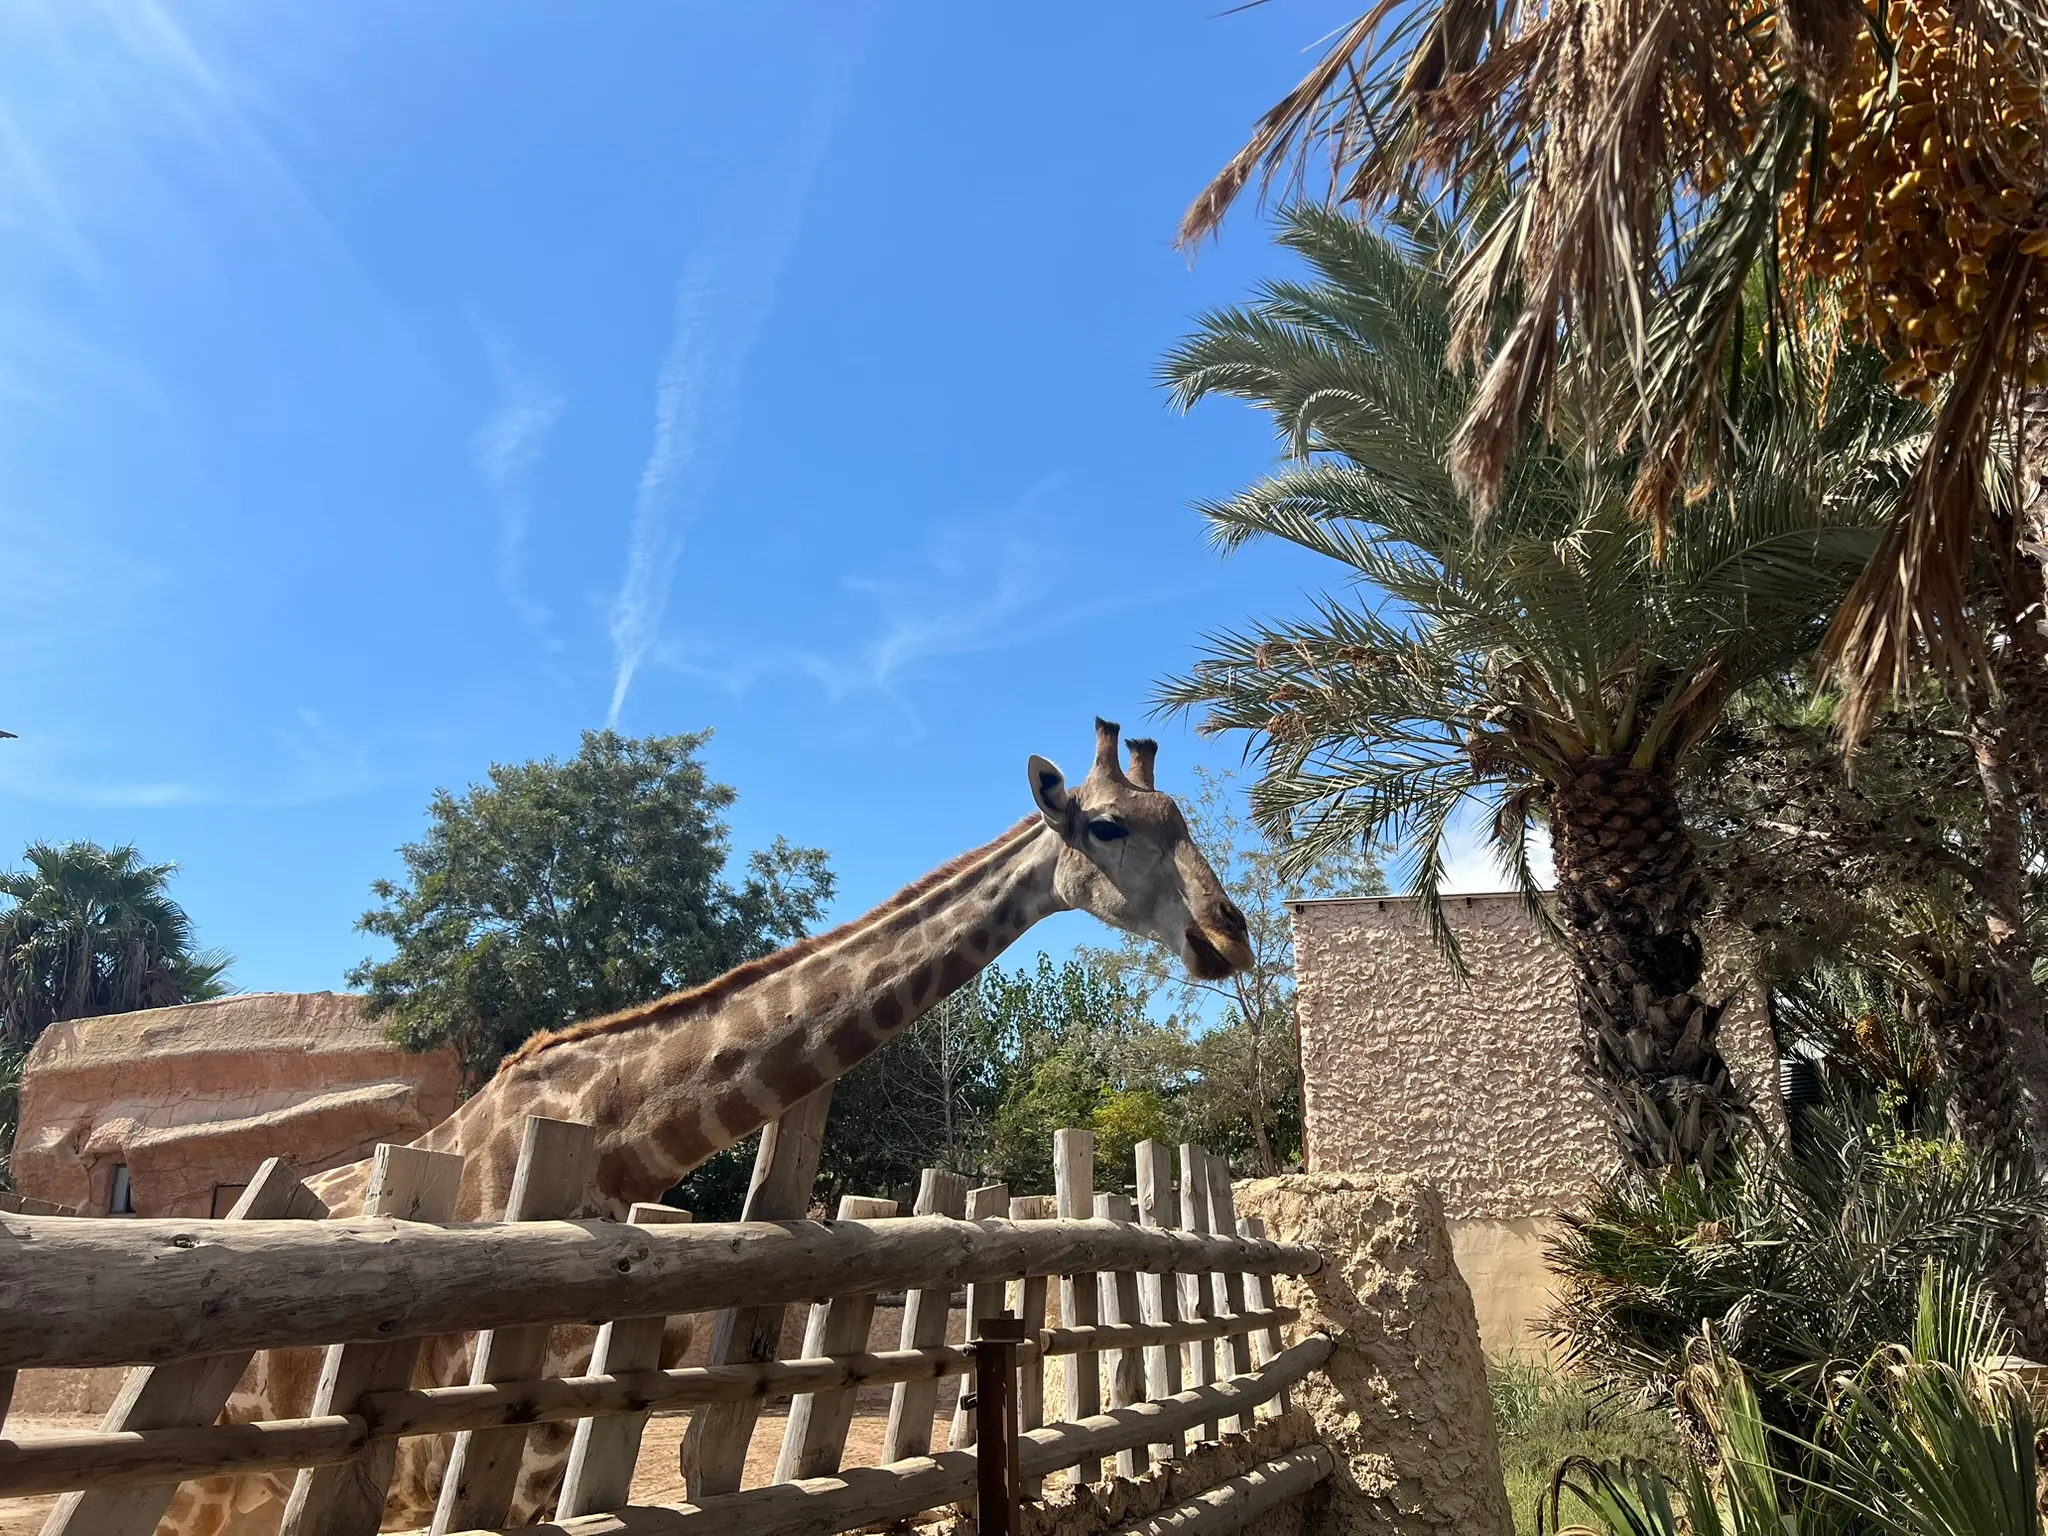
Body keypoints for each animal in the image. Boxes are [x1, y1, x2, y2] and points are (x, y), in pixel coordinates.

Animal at [156, 719, 1253, 1535]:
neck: (613, 1147)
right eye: (1106, 826)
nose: (1227, 935)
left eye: (1179, 817)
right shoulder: (436, 1451)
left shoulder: (538, 1449)